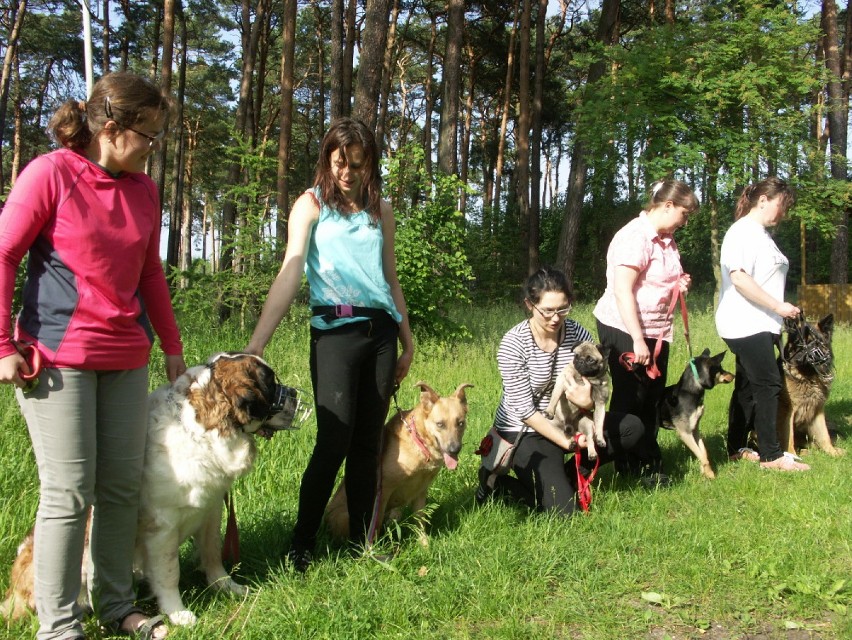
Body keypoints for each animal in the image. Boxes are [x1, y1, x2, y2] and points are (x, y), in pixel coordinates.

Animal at [2, 350, 310, 624]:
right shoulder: (162, 527)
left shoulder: (210, 511)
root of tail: (12, 591)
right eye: (270, 385)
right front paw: (178, 613)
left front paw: (227, 586)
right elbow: (169, 572)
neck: (203, 431)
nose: (294, 394)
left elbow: (212, 553)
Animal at [656, 350, 736, 480]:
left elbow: (703, 451)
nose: (733, 375)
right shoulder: (685, 433)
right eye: (720, 368)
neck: (690, 393)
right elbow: (700, 454)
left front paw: (705, 471)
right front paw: (709, 474)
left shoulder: (695, 429)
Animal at [780, 314, 840, 458]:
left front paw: (832, 452)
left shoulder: (817, 410)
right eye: (798, 344)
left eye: (815, 343)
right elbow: (789, 436)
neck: (808, 377)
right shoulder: (788, 411)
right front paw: (792, 455)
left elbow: (824, 435)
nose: (799, 358)